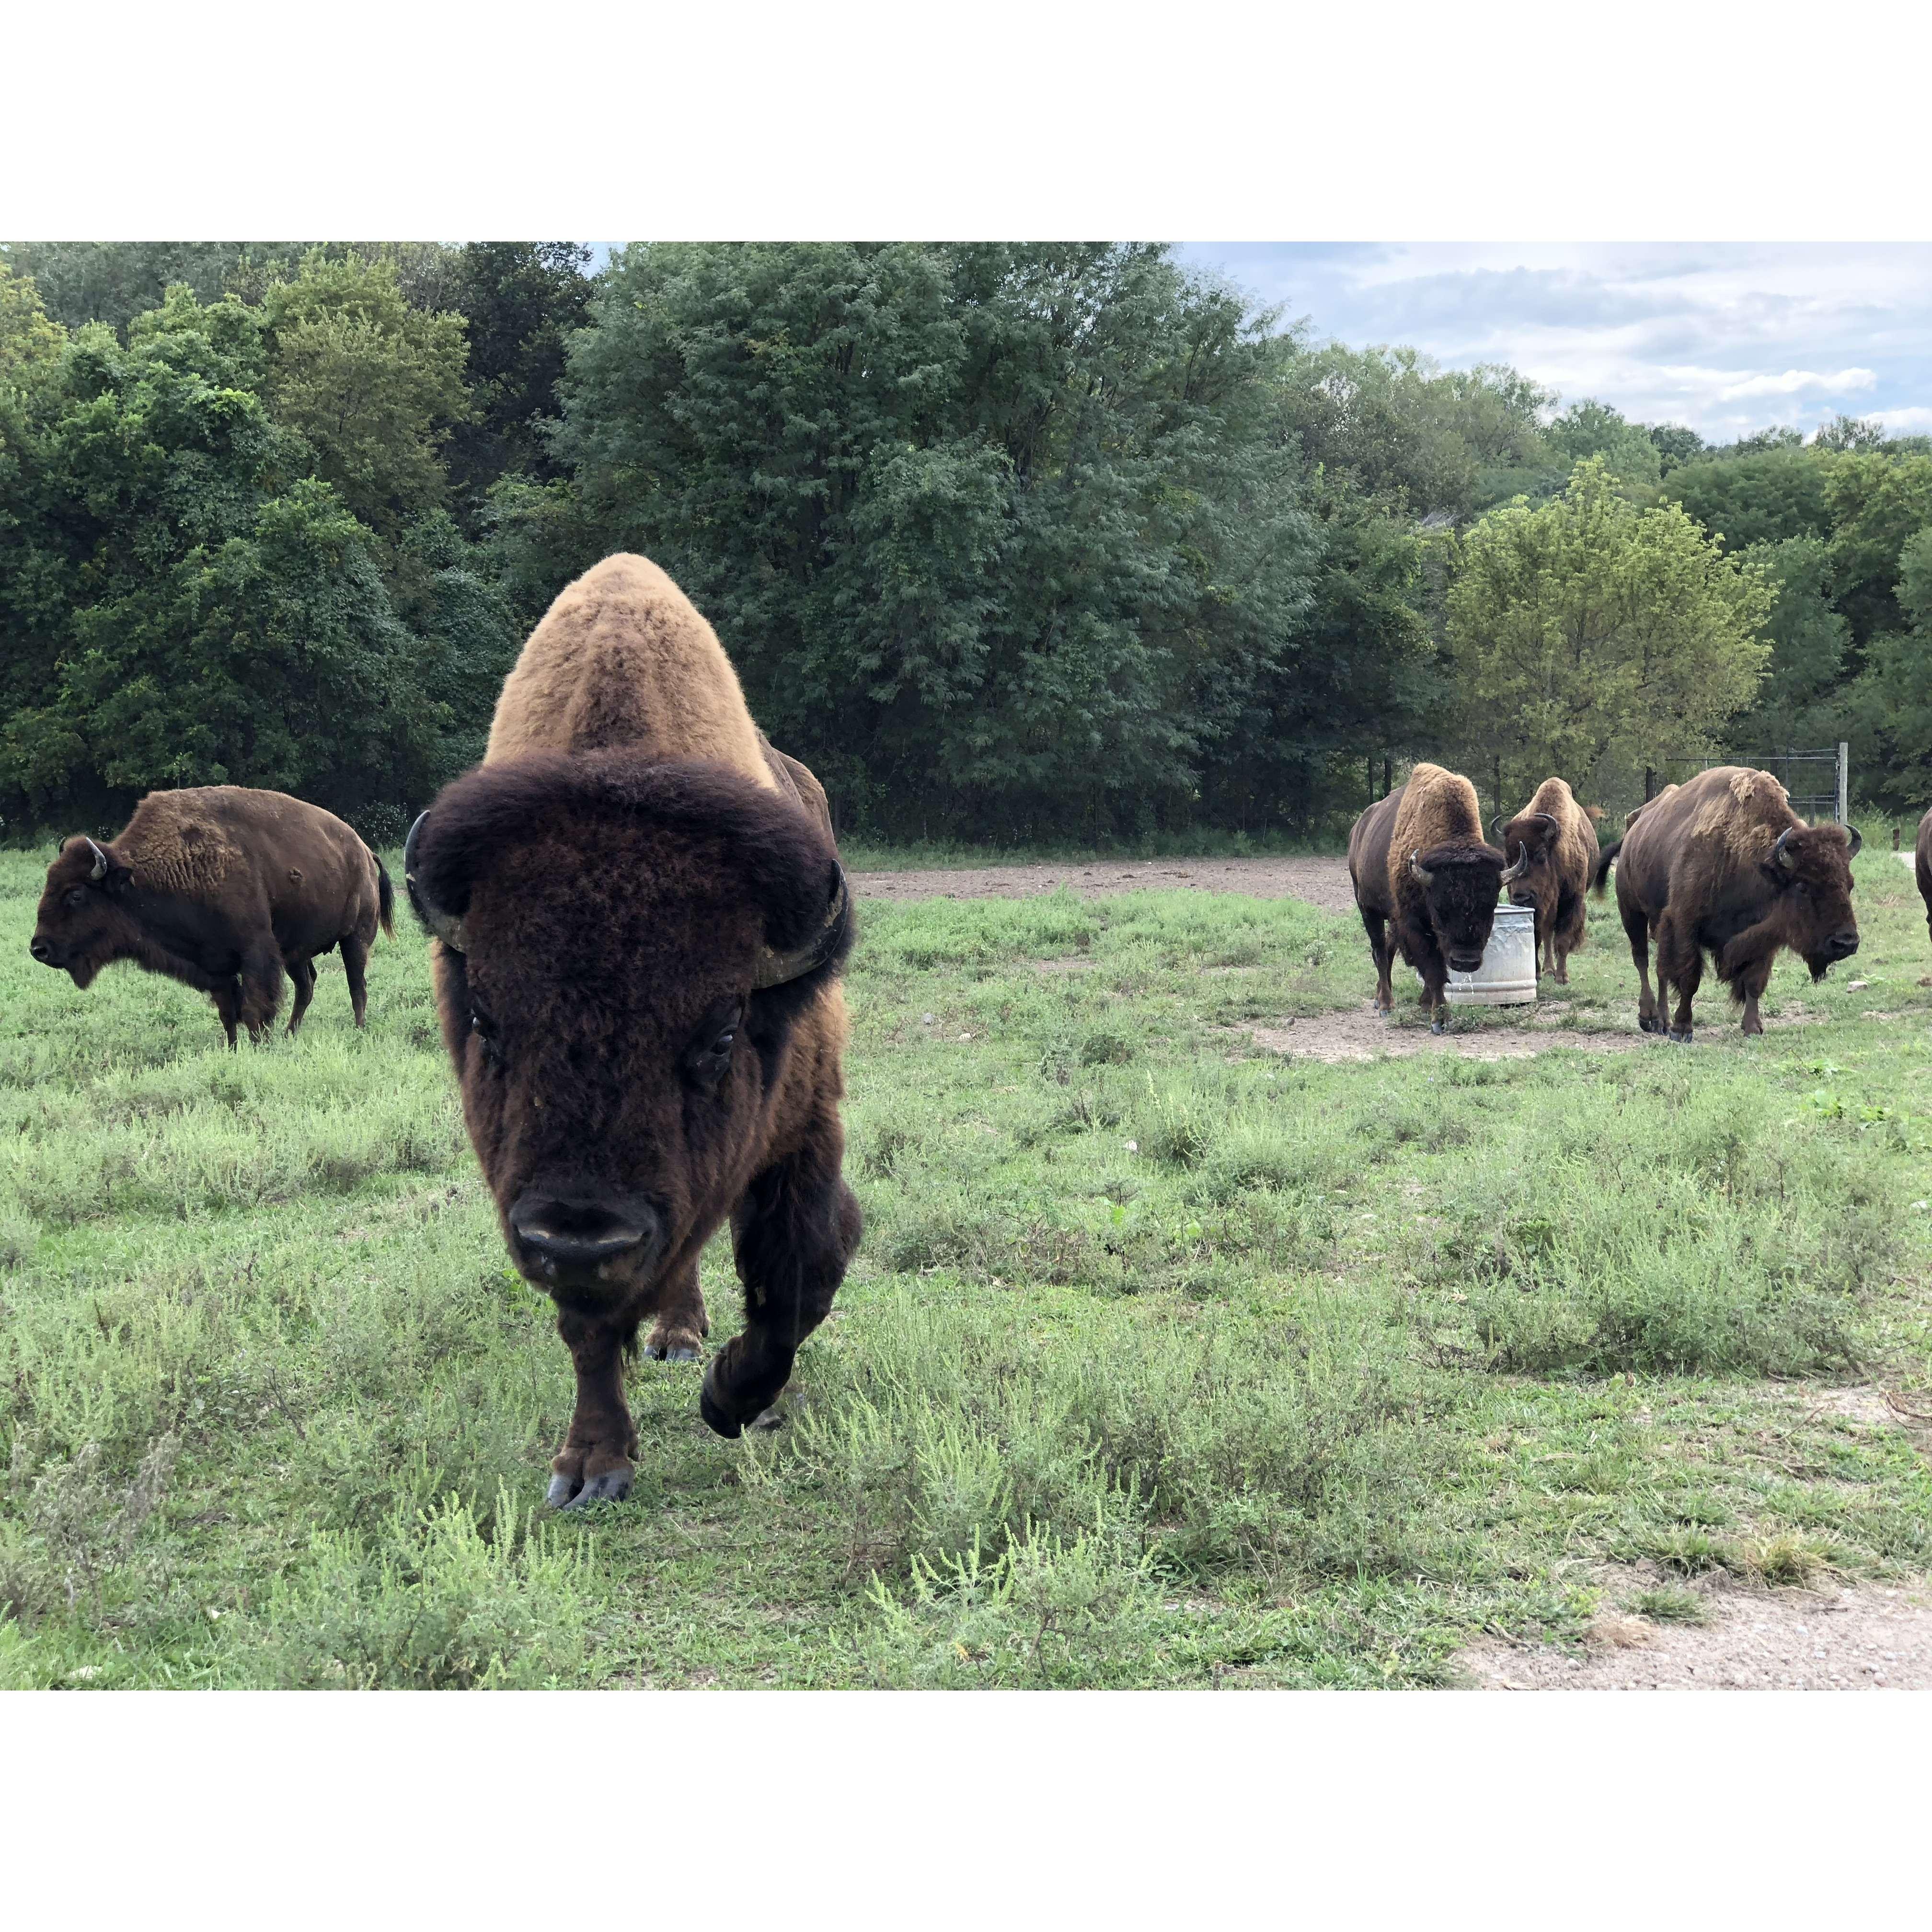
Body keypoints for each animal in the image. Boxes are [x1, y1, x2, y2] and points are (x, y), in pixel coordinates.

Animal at [30, 786, 392, 1045]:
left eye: (76, 895)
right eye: (49, 882)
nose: (39, 949)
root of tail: (363, 849)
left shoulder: (256, 952)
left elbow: (254, 1008)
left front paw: (259, 1046)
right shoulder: (213, 964)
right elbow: (228, 1012)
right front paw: (232, 1050)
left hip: (355, 939)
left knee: (356, 985)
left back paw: (359, 1031)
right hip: (296, 952)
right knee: (307, 987)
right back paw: (291, 1034)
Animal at [405, 553, 861, 1508]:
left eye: (720, 1036)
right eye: (488, 1023)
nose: (581, 1234)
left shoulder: (807, 1124)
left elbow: (800, 1276)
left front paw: (734, 1399)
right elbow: (587, 1330)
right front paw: (590, 1466)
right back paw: (673, 1336)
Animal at [1349, 762, 1512, 1030]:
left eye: (1490, 907)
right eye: (1440, 909)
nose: (1466, 961)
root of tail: (1358, 828)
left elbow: (1436, 966)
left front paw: (1427, 1006)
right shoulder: (1416, 923)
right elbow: (1433, 967)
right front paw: (1439, 1019)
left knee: (1389, 949)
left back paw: (1380, 997)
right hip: (1367, 907)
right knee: (1380, 951)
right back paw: (1385, 1004)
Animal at [1491, 778, 1603, 985]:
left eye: (1541, 854)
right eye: (1508, 859)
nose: (1521, 897)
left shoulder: (1571, 900)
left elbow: (1563, 938)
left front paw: (1563, 977)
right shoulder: (1537, 905)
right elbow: (1537, 936)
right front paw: (1536, 973)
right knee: (1548, 932)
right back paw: (1548, 969)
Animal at [1597, 765, 1860, 1040]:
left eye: (1850, 884)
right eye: (1802, 886)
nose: (1846, 943)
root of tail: (1632, 830)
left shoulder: (1764, 935)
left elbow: (1754, 982)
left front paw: (1753, 1027)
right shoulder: (1684, 923)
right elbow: (1689, 979)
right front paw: (1683, 1029)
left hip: (1656, 923)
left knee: (1661, 970)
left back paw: (1663, 1021)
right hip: (1632, 911)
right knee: (1643, 960)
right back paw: (1650, 1018)